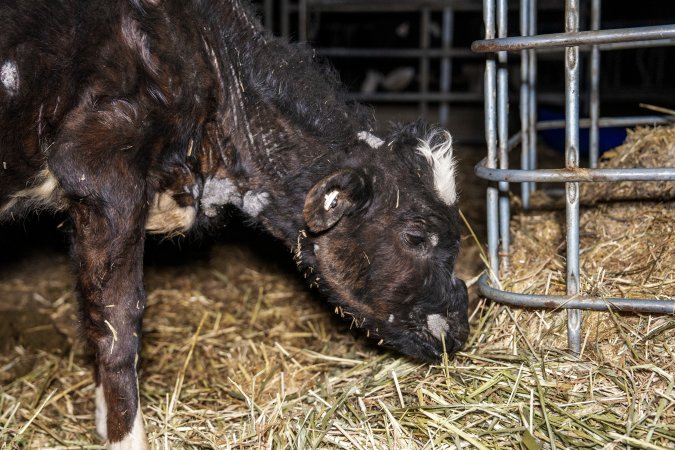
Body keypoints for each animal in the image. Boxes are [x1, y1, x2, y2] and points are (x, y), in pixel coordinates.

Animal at [0, 0, 469, 448]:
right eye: (416, 236)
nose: (460, 330)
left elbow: (94, 311)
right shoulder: (100, 171)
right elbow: (118, 327)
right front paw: (125, 436)